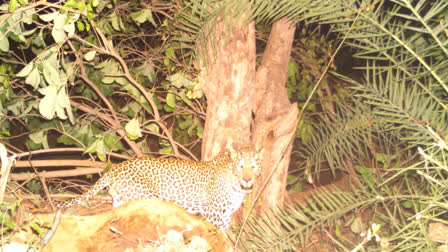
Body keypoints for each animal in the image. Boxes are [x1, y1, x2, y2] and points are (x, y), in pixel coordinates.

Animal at [55, 147, 262, 229]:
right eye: (240, 166)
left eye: (253, 166)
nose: (247, 180)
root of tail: (115, 168)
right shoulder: (214, 213)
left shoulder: (226, 214)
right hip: (144, 196)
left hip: (121, 200)